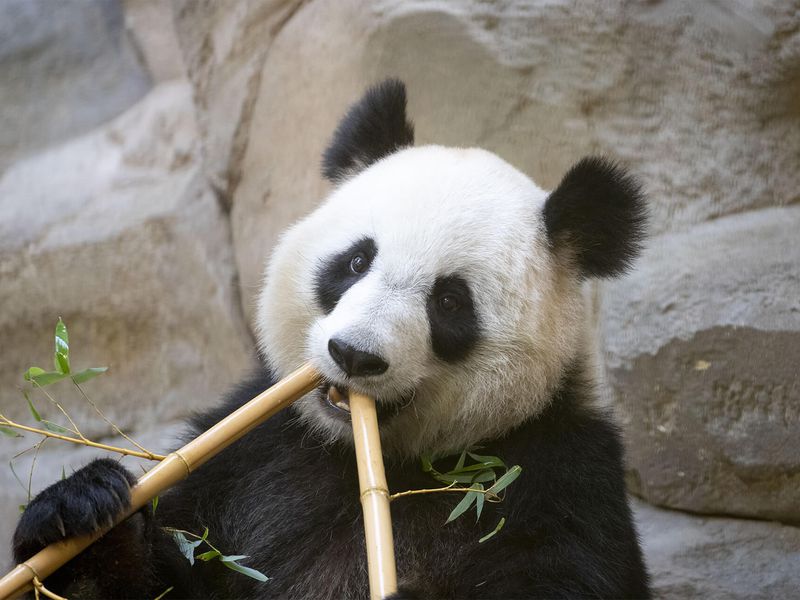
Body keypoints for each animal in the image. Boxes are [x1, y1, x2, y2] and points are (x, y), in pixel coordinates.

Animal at [12, 79, 649, 599]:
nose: (354, 355)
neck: (364, 457)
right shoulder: (254, 457)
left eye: (449, 301)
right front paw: (80, 519)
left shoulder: (557, 482)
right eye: (355, 261)